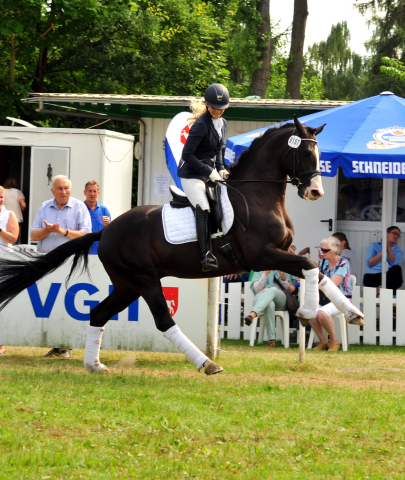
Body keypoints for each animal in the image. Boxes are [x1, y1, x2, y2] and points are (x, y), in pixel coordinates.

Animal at [0, 117, 362, 376]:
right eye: (304, 152)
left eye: (320, 154)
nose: (315, 192)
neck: (259, 195)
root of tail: (107, 230)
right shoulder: (262, 255)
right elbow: (312, 267)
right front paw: (309, 311)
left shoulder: (282, 254)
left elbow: (319, 272)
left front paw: (352, 312)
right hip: (144, 280)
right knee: (163, 320)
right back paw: (206, 363)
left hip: (128, 284)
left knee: (99, 312)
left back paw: (94, 364)